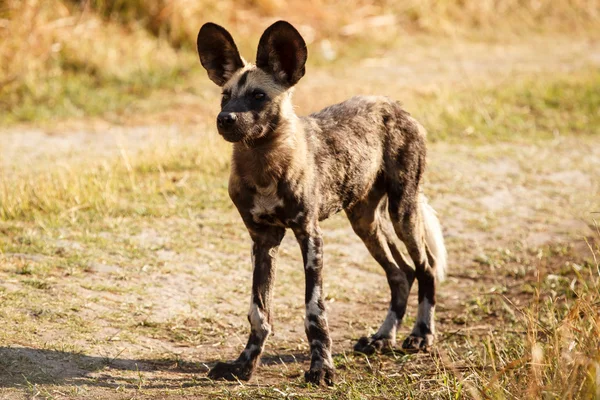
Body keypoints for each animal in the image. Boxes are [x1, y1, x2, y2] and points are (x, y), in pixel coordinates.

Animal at [197, 20, 446, 386]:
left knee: (425, 267)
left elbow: (314, 311)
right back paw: (382, 338)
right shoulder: (262, 241)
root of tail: (395, 104)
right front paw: (243, 365)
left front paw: (321, 368)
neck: (263, 164)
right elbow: (259, 312)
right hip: (364, 222)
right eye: (225, 97)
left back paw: (421, 334)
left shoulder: (310, 236)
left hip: (403, 211)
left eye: (258, 96)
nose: (225, 119)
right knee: (401, 274)